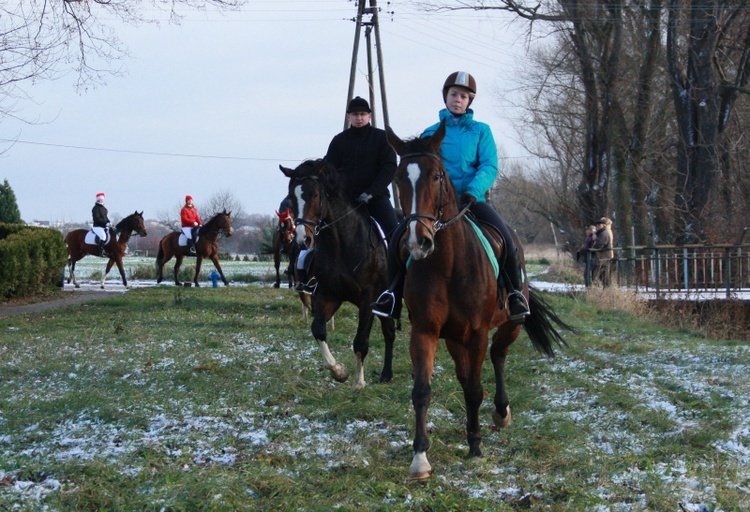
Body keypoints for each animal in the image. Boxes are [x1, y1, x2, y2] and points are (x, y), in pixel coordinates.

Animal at [282, 159, 400, 388]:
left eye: (315, 195)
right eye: (292, 196)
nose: (302, 240)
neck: (342, 243)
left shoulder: (368, 299)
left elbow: (361, 341)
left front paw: (359, 382)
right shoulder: (328, 294)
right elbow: (318, 329)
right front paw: (339, 371)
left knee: (391, 332)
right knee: (389, 331)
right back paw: (385, 374)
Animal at [388, 124, 568, 480]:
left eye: (437, 176)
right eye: (399, 177)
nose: (418, 242)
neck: (447, 264)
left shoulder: (478, 333)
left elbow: (474, 389)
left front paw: (475, 447)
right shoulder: (425, 332)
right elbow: (422, 391)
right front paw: (420, 459)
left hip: (509, 324)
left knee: (498, 356)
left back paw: (501, 412)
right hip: (454, 338)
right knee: (465, 373)